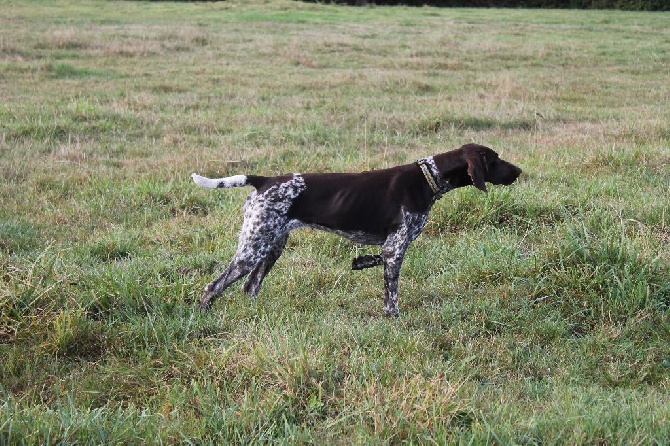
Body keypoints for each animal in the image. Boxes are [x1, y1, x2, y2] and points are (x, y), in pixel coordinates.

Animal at [192, 144, 524, 318]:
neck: (428, 177)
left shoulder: (390, 248)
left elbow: (376, 261)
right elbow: (391, 295)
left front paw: (361, 262)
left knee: (250, 286)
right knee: (214, 286)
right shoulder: (395, 248)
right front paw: (394, 320)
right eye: (495, 160)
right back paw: (203, 313)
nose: (520, 171)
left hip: (272, 245)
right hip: (253, 247)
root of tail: (264, 180)